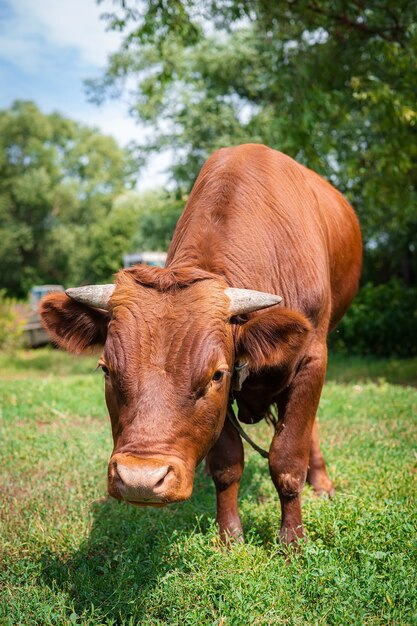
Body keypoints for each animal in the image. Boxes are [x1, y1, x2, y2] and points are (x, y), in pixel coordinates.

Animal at [40, 144, 362, 544]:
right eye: (106, 369)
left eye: (215, 375)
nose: (141, 480)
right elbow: (227, 463)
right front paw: (230, 538)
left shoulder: (311, 360)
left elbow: (287, 460)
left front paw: (292, 540)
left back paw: (320, 483)